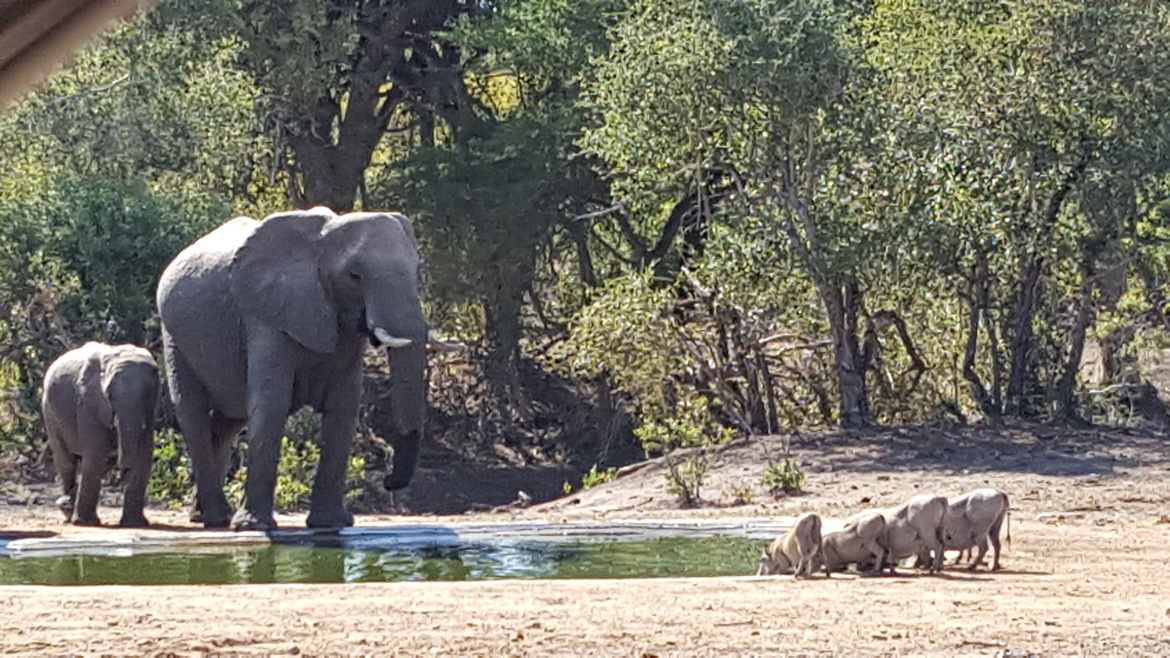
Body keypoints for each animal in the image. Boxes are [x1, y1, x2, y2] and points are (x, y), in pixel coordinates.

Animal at [41, 341, 160, 527]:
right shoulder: (89, 402)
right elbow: (97, 457)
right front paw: (84, 523)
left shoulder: (150, 412)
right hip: (49, 412)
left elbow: (143, 459)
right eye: (109, 395)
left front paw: (135, 524)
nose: (123, 466)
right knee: (67, 462)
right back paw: (68, 509)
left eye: (148, 393)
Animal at [156, 206, 442, 530]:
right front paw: (255, 527)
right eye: (354, 275)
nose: (389, 481)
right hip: (173, 335)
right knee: (193, 413)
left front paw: (331, 524)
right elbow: (271, 403)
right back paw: (217, 519)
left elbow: (344, 408)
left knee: (228, 420)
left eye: (418, 271)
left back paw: (203, 515)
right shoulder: (265, 315)